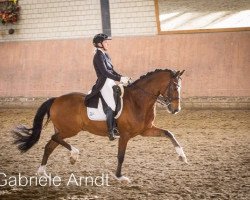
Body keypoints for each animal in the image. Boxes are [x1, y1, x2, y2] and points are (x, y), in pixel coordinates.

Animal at [12, 69, 187, 183]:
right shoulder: (125, 135)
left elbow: (169, 133)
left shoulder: (145, 130)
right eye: (174, 86)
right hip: (70, 130)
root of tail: (56, 99)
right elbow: (121, 156)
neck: (138, 101)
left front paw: (182, 156)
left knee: (50, 145)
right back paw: (74, 154)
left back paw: (43, 173)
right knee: (53, 138)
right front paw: (120, 176)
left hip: (63, 129)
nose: (176, 109)